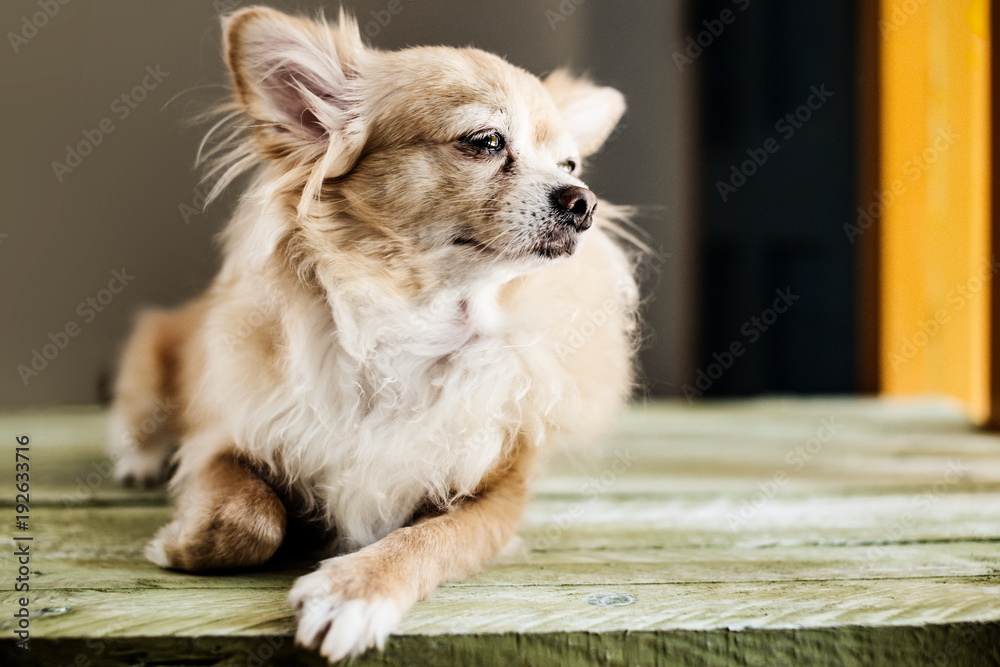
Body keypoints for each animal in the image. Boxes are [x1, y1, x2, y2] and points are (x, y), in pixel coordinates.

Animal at [109, 5, 640, 664]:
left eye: (570, 166)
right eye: (486, 142)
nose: (583, 201)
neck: (416, 323)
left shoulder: (498, 495)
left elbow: (429, 540)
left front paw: (356, 590)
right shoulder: (217, 443)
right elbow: (248, 520)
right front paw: (177, 542)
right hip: (157, 349)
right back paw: (139, 457)